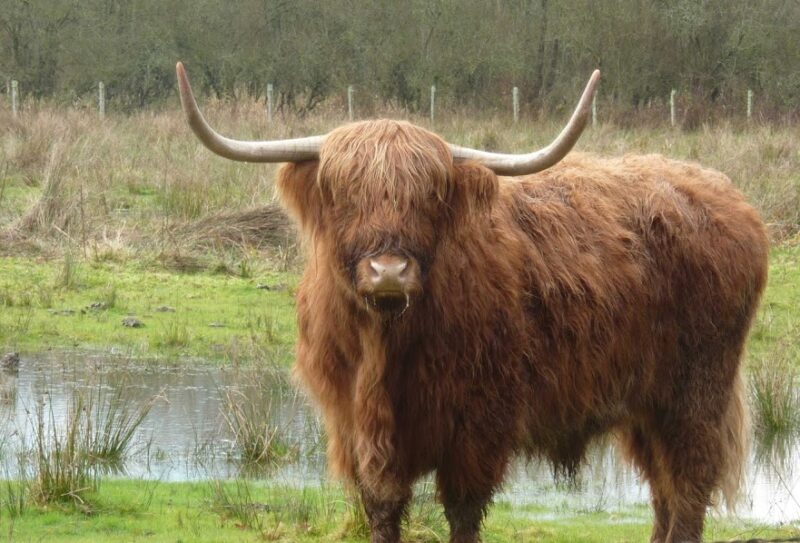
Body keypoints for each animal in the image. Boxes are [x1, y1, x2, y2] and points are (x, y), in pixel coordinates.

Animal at [177, 61, 768, 540]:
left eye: (429, 196)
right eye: (343, 194)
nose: (388, 271)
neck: (384, 351)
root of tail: (723, 193)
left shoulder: (479, 427)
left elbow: (463, 513)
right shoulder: (354, 429)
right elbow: (382, 511)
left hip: (696, 395)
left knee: (689, 488)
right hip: (645, 407)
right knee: (664, 492)